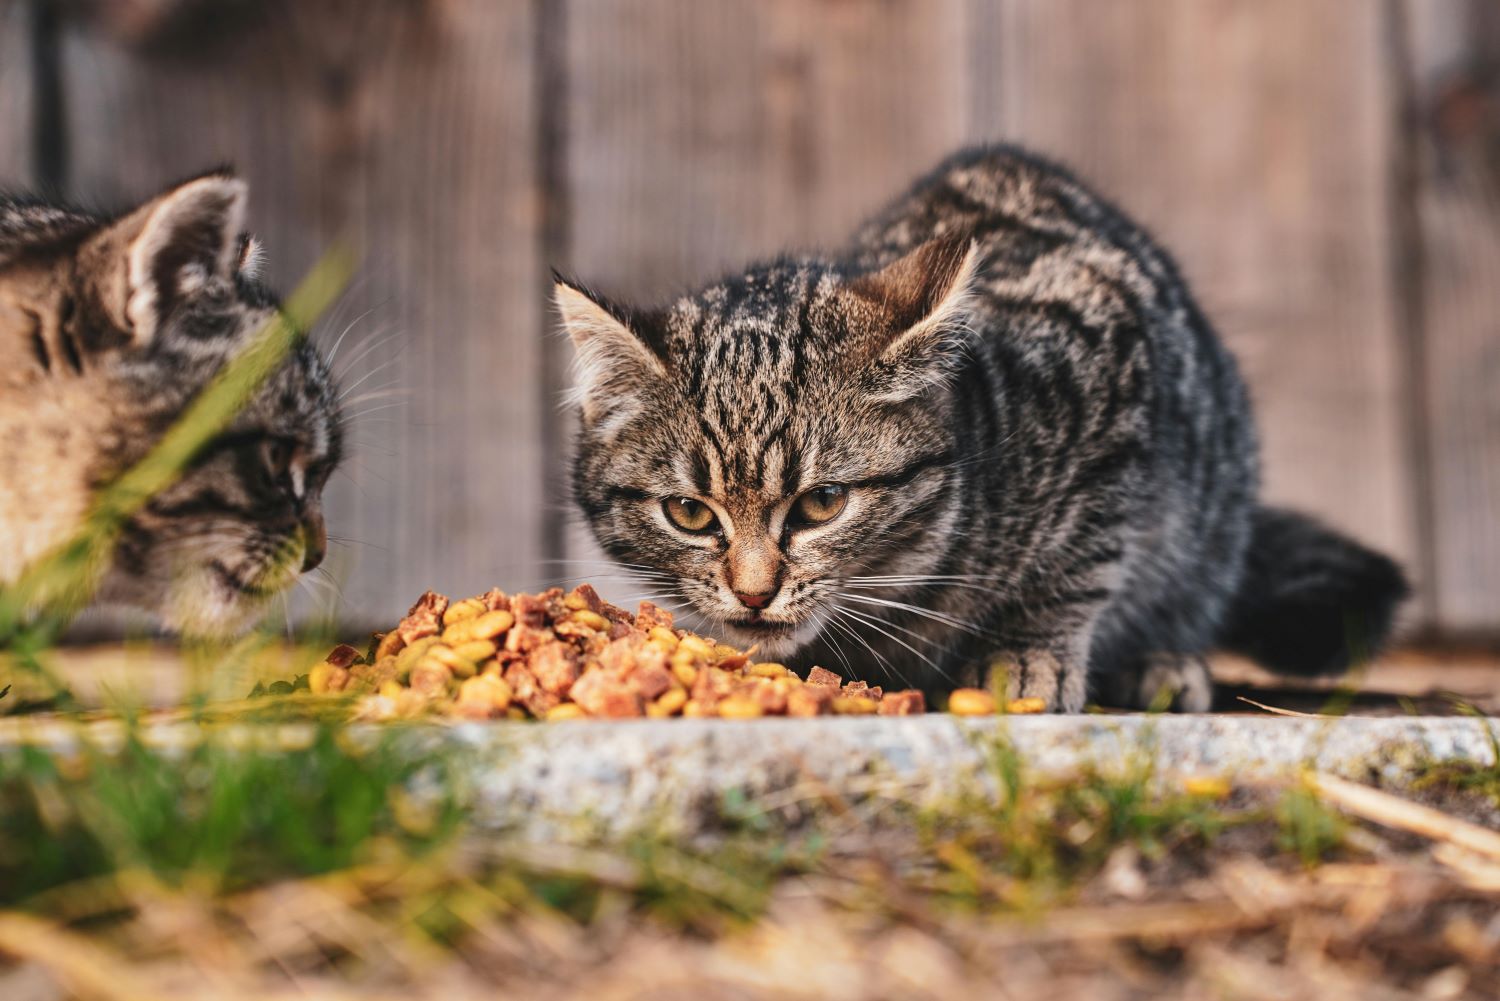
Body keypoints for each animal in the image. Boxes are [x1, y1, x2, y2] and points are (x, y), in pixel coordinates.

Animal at [561, 147, 1404, 711]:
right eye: (689, 513)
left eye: (822, 503)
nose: (754, 593)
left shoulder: (1112, 382)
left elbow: (1076, 564)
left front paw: (1027, 653)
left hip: (1212, 503)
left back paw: (1161, 662)